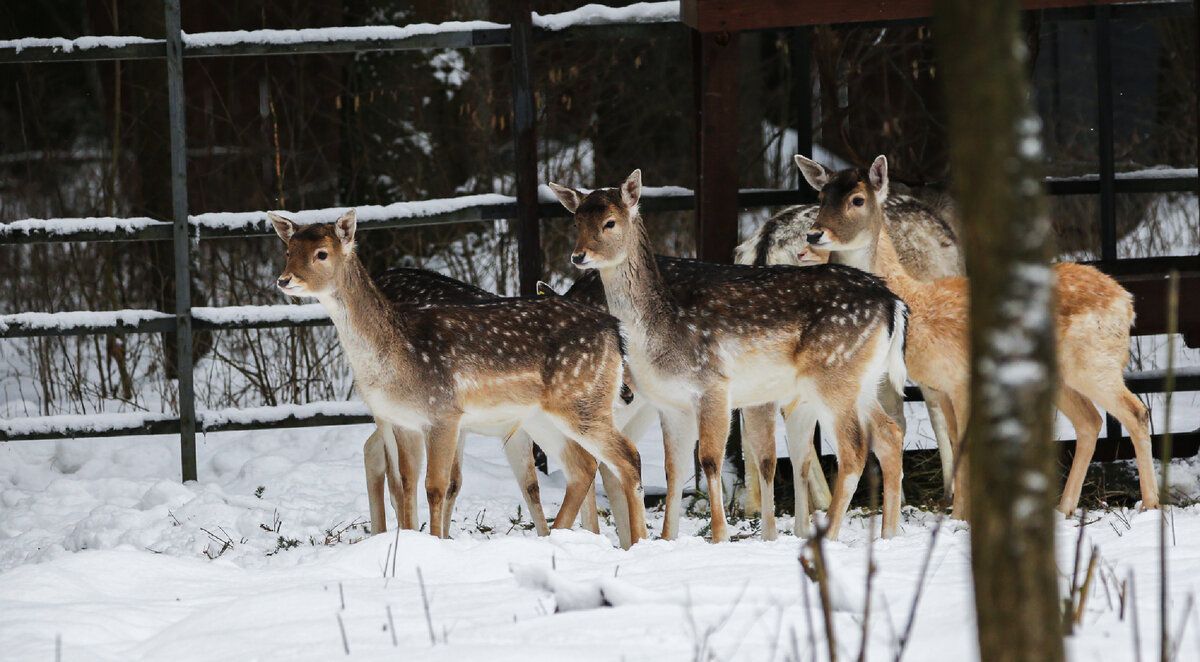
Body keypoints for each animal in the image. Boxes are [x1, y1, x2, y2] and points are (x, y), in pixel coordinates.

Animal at [271, 209, 652, 544]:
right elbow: (406, 483)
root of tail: (613, 328)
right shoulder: (402, 420)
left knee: (627, 457)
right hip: (544, 414)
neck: (397, 353)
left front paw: (435, 543)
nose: (284, 280)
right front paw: (410, 541)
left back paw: (637, 542)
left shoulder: (443, 412)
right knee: (584, 466)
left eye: (321, 253)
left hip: (581, 399)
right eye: (288, 251)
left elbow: (436, 487)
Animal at [552, 170, 907, 542]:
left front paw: (720, 535)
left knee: (853, 452)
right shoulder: (671, 403)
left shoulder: (713, 385)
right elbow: (673, 469)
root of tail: (892, 303)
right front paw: (667, 539)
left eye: (610, 222)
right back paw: (889, 533)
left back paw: (833, 533)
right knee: (889, 435)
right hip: (860, 380)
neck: (658, 334)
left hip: (833, 374)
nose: (579, 256)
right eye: (576, 220)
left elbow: (710, 460)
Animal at [796, 154, 1161, 518]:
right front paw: (960, 511)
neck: (917, 301)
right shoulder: (940, 385)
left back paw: (1149, 503)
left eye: (857, 200)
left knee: (1136, 412)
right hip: (1062, 376)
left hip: (1096, 363)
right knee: (1089, 421)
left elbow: (966, 444)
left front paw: (960, 515)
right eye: (821, 196)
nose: (813, 235)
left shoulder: (960, 377)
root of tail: (1126, 301)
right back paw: (1064, 508)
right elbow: (954, 440)